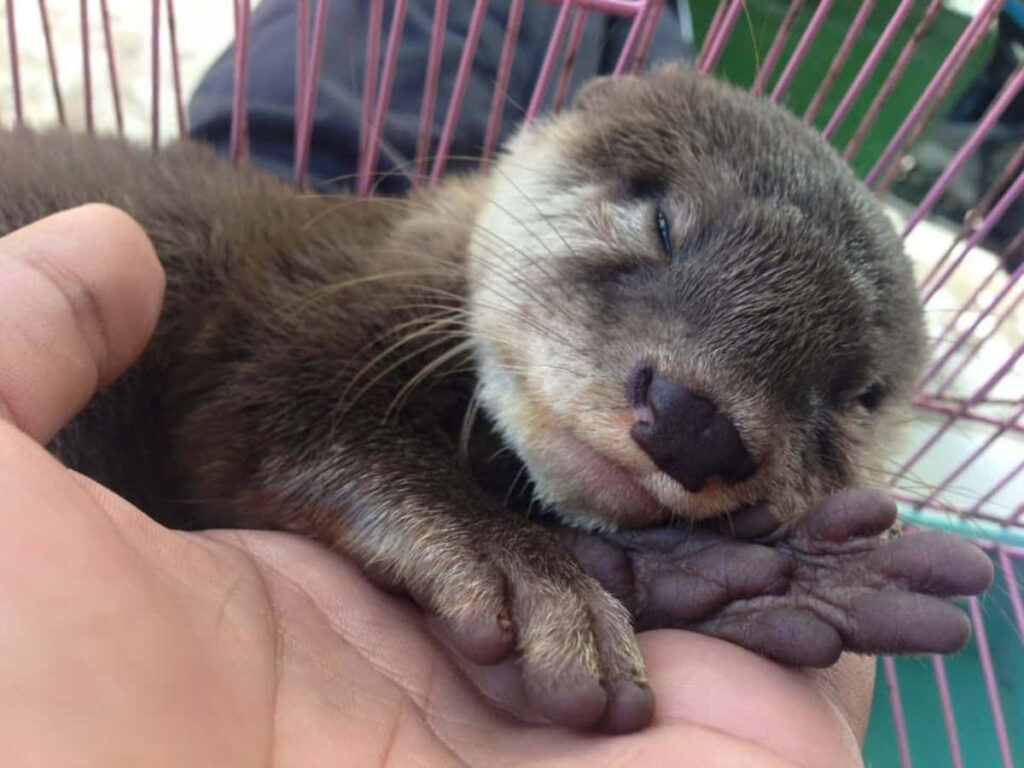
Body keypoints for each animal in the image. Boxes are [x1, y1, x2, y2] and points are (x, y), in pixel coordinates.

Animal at [0, 64, 993, 733]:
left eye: (854, 396)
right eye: (663, 223)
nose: (694, 423)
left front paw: (703, 575)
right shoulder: (287, 333)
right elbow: (291, 429)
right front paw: (526, 573)